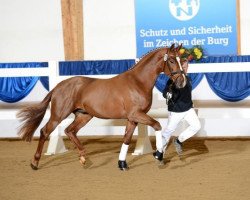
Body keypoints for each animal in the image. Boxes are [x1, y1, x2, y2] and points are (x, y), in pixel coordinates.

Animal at [16, 44, 187, 170]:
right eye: (172, 60)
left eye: (181, 60)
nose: (181, 82)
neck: (138, 82)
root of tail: (58, 87)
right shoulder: (136, 114)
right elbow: (157, 125)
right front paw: (158, 155)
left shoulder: (132, 118)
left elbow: (126, 139)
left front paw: (122, 164)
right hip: (59, 115)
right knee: (45, 131)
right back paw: (35, 163)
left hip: (84, 115)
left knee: (70, 131)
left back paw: (84, 158)